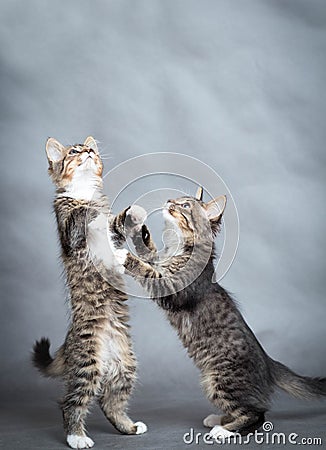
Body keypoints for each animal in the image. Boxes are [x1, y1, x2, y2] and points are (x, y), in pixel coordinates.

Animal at [31, 137, 146, 450]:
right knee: (71, 403)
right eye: (73, 152)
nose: (89, 151)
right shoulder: (68, 231)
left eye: (88, 148)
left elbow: (116, 223)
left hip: (126, 365)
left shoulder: (112, 233)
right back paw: (77, 436)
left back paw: (128, 426)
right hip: (87, 363)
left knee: (110, 401)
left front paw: (133, 213)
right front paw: (86, 206)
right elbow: (78, 213)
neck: (83, 189)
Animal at [114, 189, 326, 440]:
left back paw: (223, 431)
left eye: (185, 205)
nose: (169, 201)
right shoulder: (160, 265)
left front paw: (123, 255)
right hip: (211, 383)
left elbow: (147, 270)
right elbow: (149, 255)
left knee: (257, 415)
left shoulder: (173, 289)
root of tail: (268, 362)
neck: (178, 247)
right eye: (176, 199)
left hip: (221, 380)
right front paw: (139, 233)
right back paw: (220, 419)